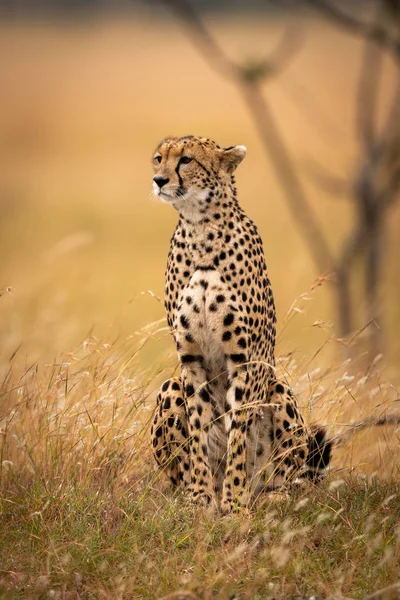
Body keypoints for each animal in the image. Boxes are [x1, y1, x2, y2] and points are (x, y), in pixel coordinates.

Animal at [150, 136, 332, 510]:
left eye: (186, 160)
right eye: (159, 158)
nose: (159, 180)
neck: (200, 228)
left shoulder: (244, 359)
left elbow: (238, 434)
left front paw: (233, 502)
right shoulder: (190, 359)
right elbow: (199, 430)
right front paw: (201, 497)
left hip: (278, 389)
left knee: (288, 474)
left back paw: (268, 495)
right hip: (170, 386)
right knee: (180, 471)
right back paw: (196, 491)